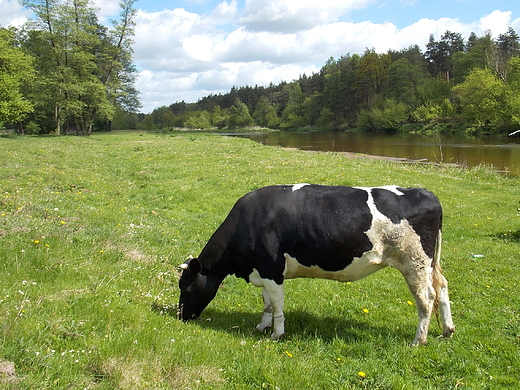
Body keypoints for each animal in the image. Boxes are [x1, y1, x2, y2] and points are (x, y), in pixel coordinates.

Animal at [179, 184, 456, 346]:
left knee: (426, 299)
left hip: (415, 261)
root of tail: (426, 193)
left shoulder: (272, 269)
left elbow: (277, 305)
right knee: (442, 287)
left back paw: (419, 340)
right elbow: (266, 303)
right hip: (429, 263)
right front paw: (261, 326)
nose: (181, 316)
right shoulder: (263, 271)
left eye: (186, 286)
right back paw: (447, 330)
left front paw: (277, 334)